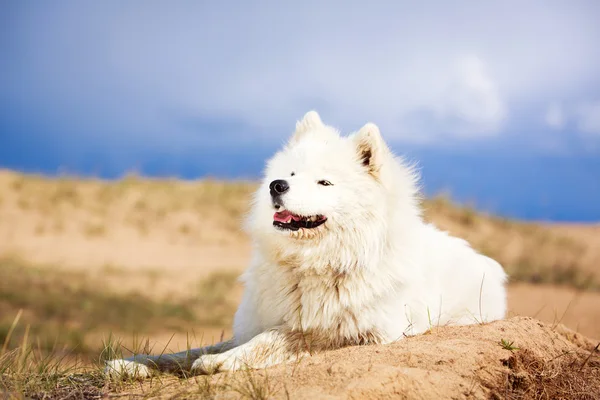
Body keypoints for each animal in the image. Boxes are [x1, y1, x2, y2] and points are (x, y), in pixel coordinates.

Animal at [104, 111, 506, 378]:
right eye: (292, 174)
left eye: (324, 182)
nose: (276, 185)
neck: (313, 263)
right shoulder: (256, 321)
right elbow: (186, 351)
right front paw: (132, 365)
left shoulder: (361, 332)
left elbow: (281, 338)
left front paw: (221, 363)